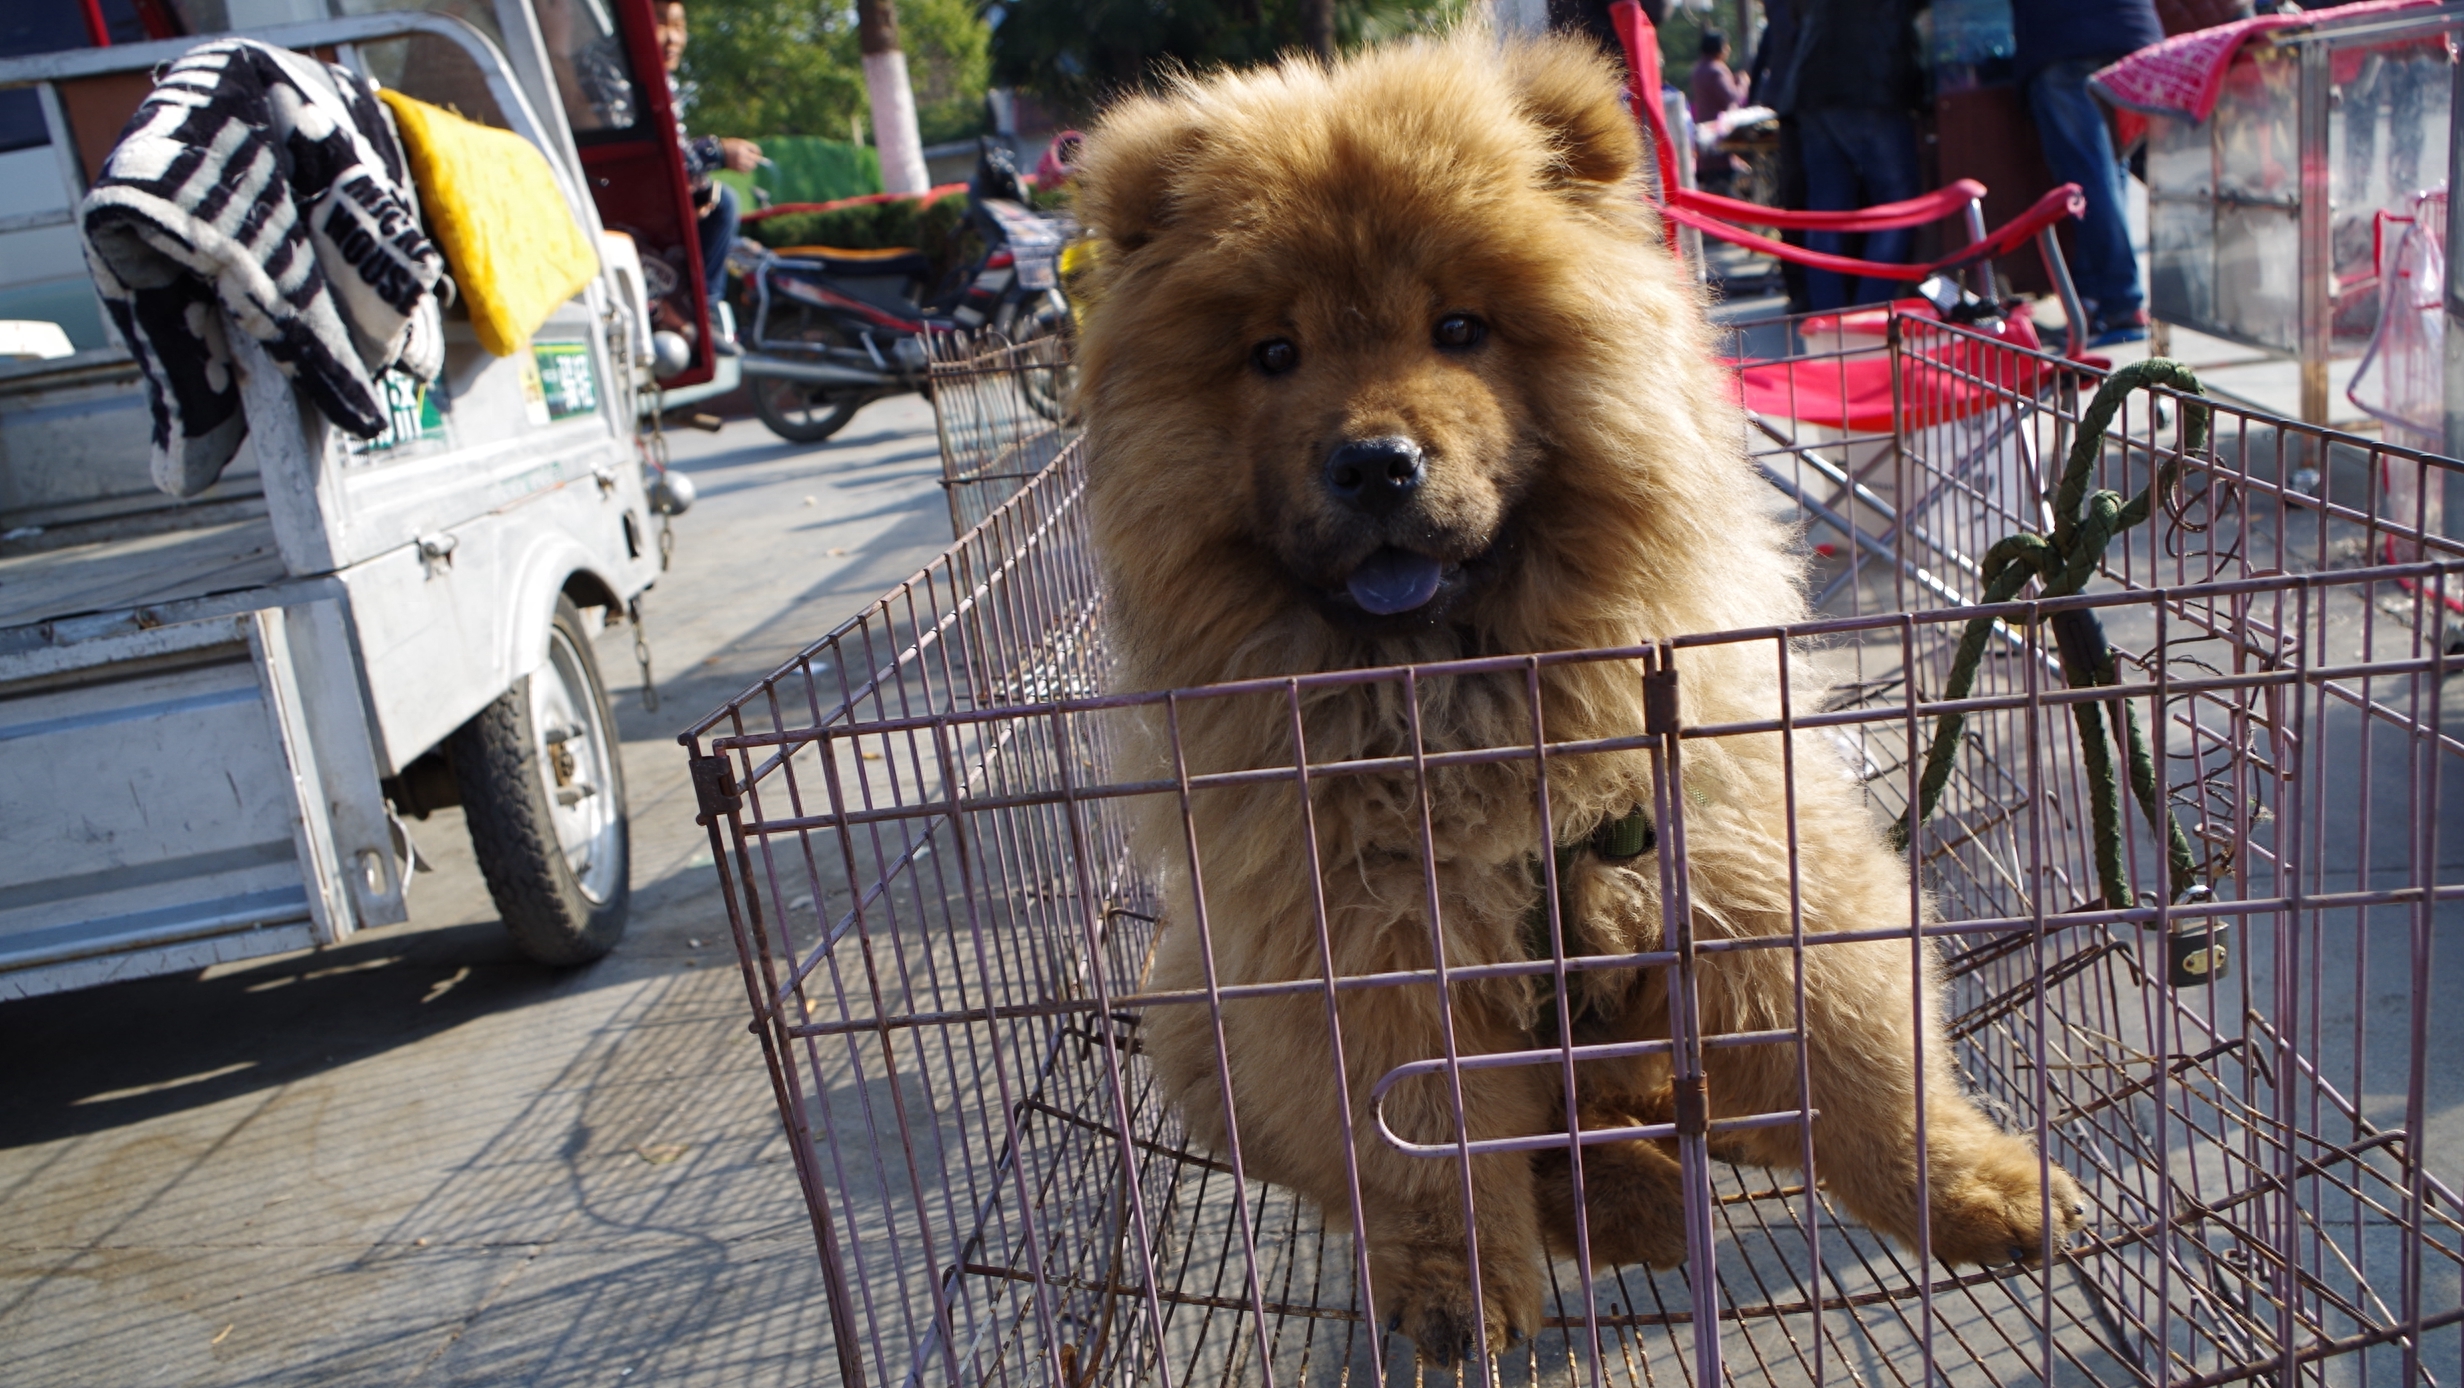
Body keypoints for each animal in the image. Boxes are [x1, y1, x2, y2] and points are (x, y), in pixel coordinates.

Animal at [1074, 24, 2079, 1370]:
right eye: (1272, 355)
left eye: (1459, 327)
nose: (1374, 462)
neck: (1467, 697)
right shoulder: (1367, 947)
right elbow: (1426, 1151)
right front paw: (1457, 1293)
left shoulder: (1744, 856)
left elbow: (1866, 1059)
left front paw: (1980, 1191)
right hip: (1195, 1005)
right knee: (1502, 1145)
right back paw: (1632, 1198)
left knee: (1642, 1084)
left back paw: (1699, 1131)